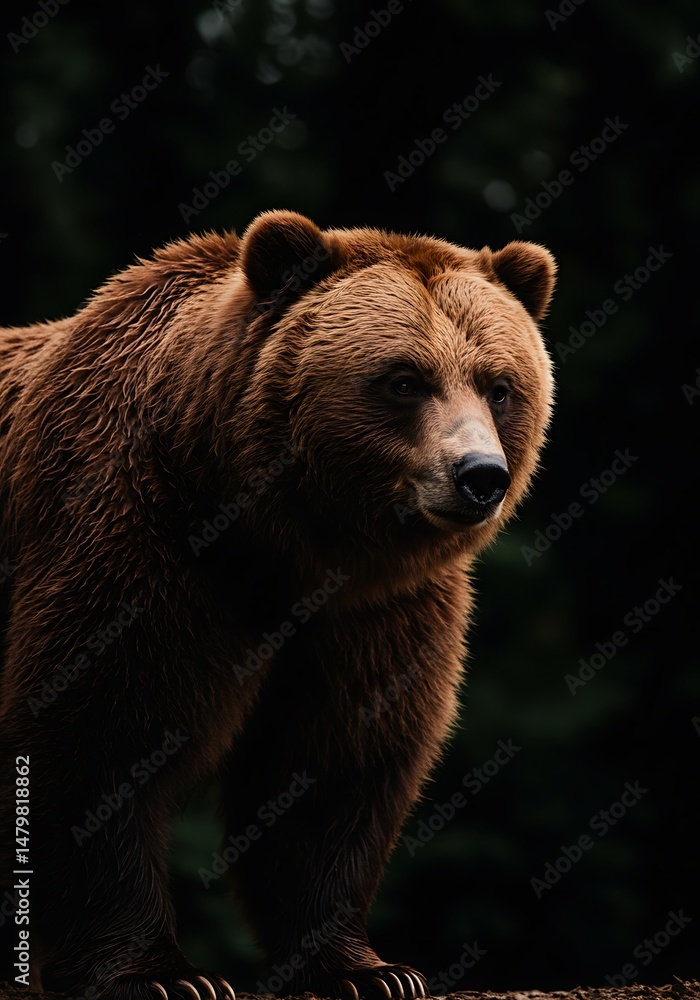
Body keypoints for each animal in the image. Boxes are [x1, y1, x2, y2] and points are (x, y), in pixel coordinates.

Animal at [0, 210, 556, 1000]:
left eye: (499, 384)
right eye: (404, 378)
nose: (479, 475)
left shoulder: (372, 613)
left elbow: (330, 767)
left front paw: (369, 970)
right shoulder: (132, 544)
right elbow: (97, 733)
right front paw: (165, 976)